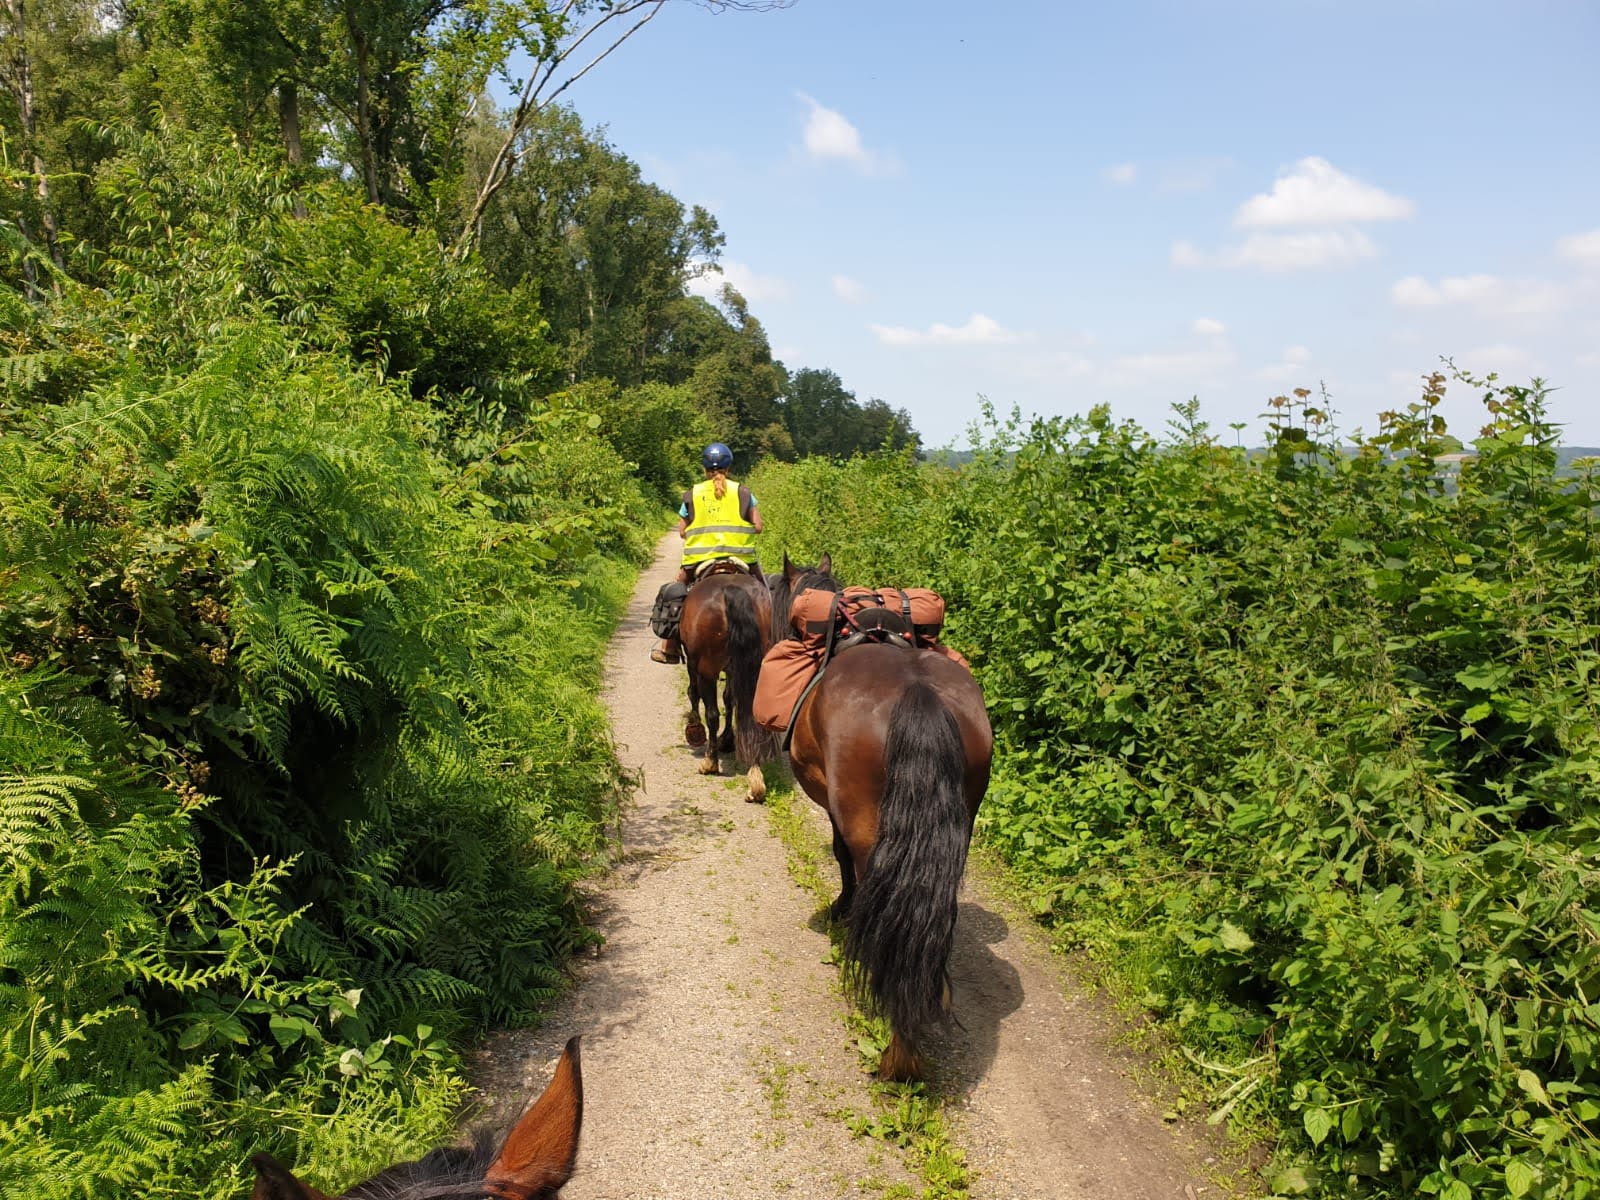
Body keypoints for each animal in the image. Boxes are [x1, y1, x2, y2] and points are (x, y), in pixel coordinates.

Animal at [675, 569, 780, 803]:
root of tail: (732, 590)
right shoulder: (734, 669)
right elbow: (730, 699)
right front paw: (728, 739)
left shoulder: (694, 664)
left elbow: (694, 693)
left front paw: (694, 727)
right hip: (755, 666)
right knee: (749, 711)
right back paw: (755, 779)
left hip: (708, 669)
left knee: (712, 713)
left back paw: (710, 763)